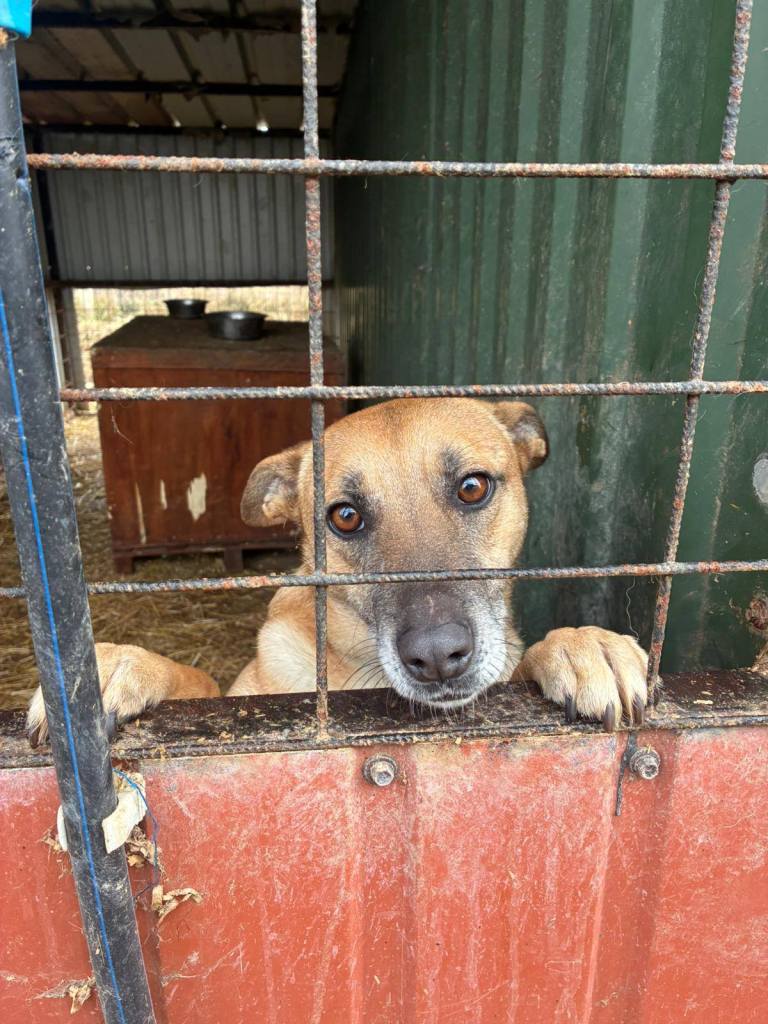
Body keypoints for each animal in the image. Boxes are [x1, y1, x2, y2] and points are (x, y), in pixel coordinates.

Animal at [27, 398, 649, 744]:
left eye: (473, 487)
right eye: (345, 517)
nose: (436, 657)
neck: (356, 676)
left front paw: (578, 645)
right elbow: (195, 681)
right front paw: (115, 666)